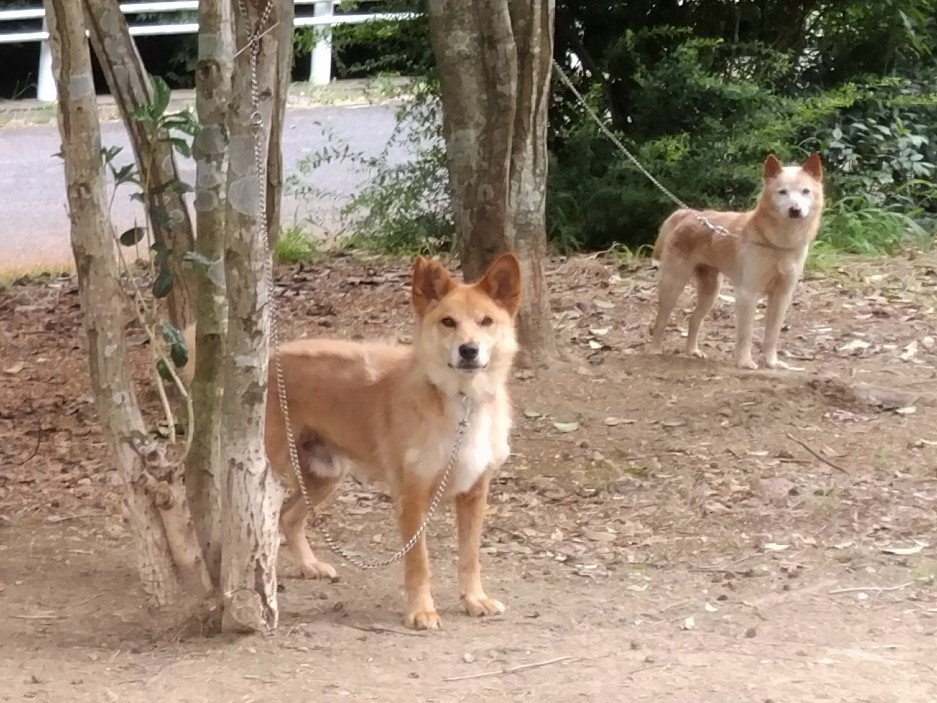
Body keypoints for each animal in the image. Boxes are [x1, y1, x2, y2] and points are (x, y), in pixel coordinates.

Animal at [180, 253, 524, 632]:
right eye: (448, 322)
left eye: (486, 322)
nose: (468, 350)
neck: (461, 402)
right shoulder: (412, 498)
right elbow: (419, 562)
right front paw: (421, 610)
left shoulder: (475, 493)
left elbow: (470, 557)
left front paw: (474, 599)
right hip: (269, 476)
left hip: (324, 477)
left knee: (289, 518)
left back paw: (308, 565)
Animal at [648, 152, 824, 372]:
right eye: (782, 192)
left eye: (805, 191)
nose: (795, 210)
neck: (778, 244)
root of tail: (689, 214)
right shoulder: (747, 294)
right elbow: (745, 334)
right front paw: (744, 362)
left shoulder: (782, 296)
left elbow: (772, 334)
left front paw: (771, 362)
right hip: (674, 284)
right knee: (660, 320)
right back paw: (655, 350)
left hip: (711, 291)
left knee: (694, 319)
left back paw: (692, 351)